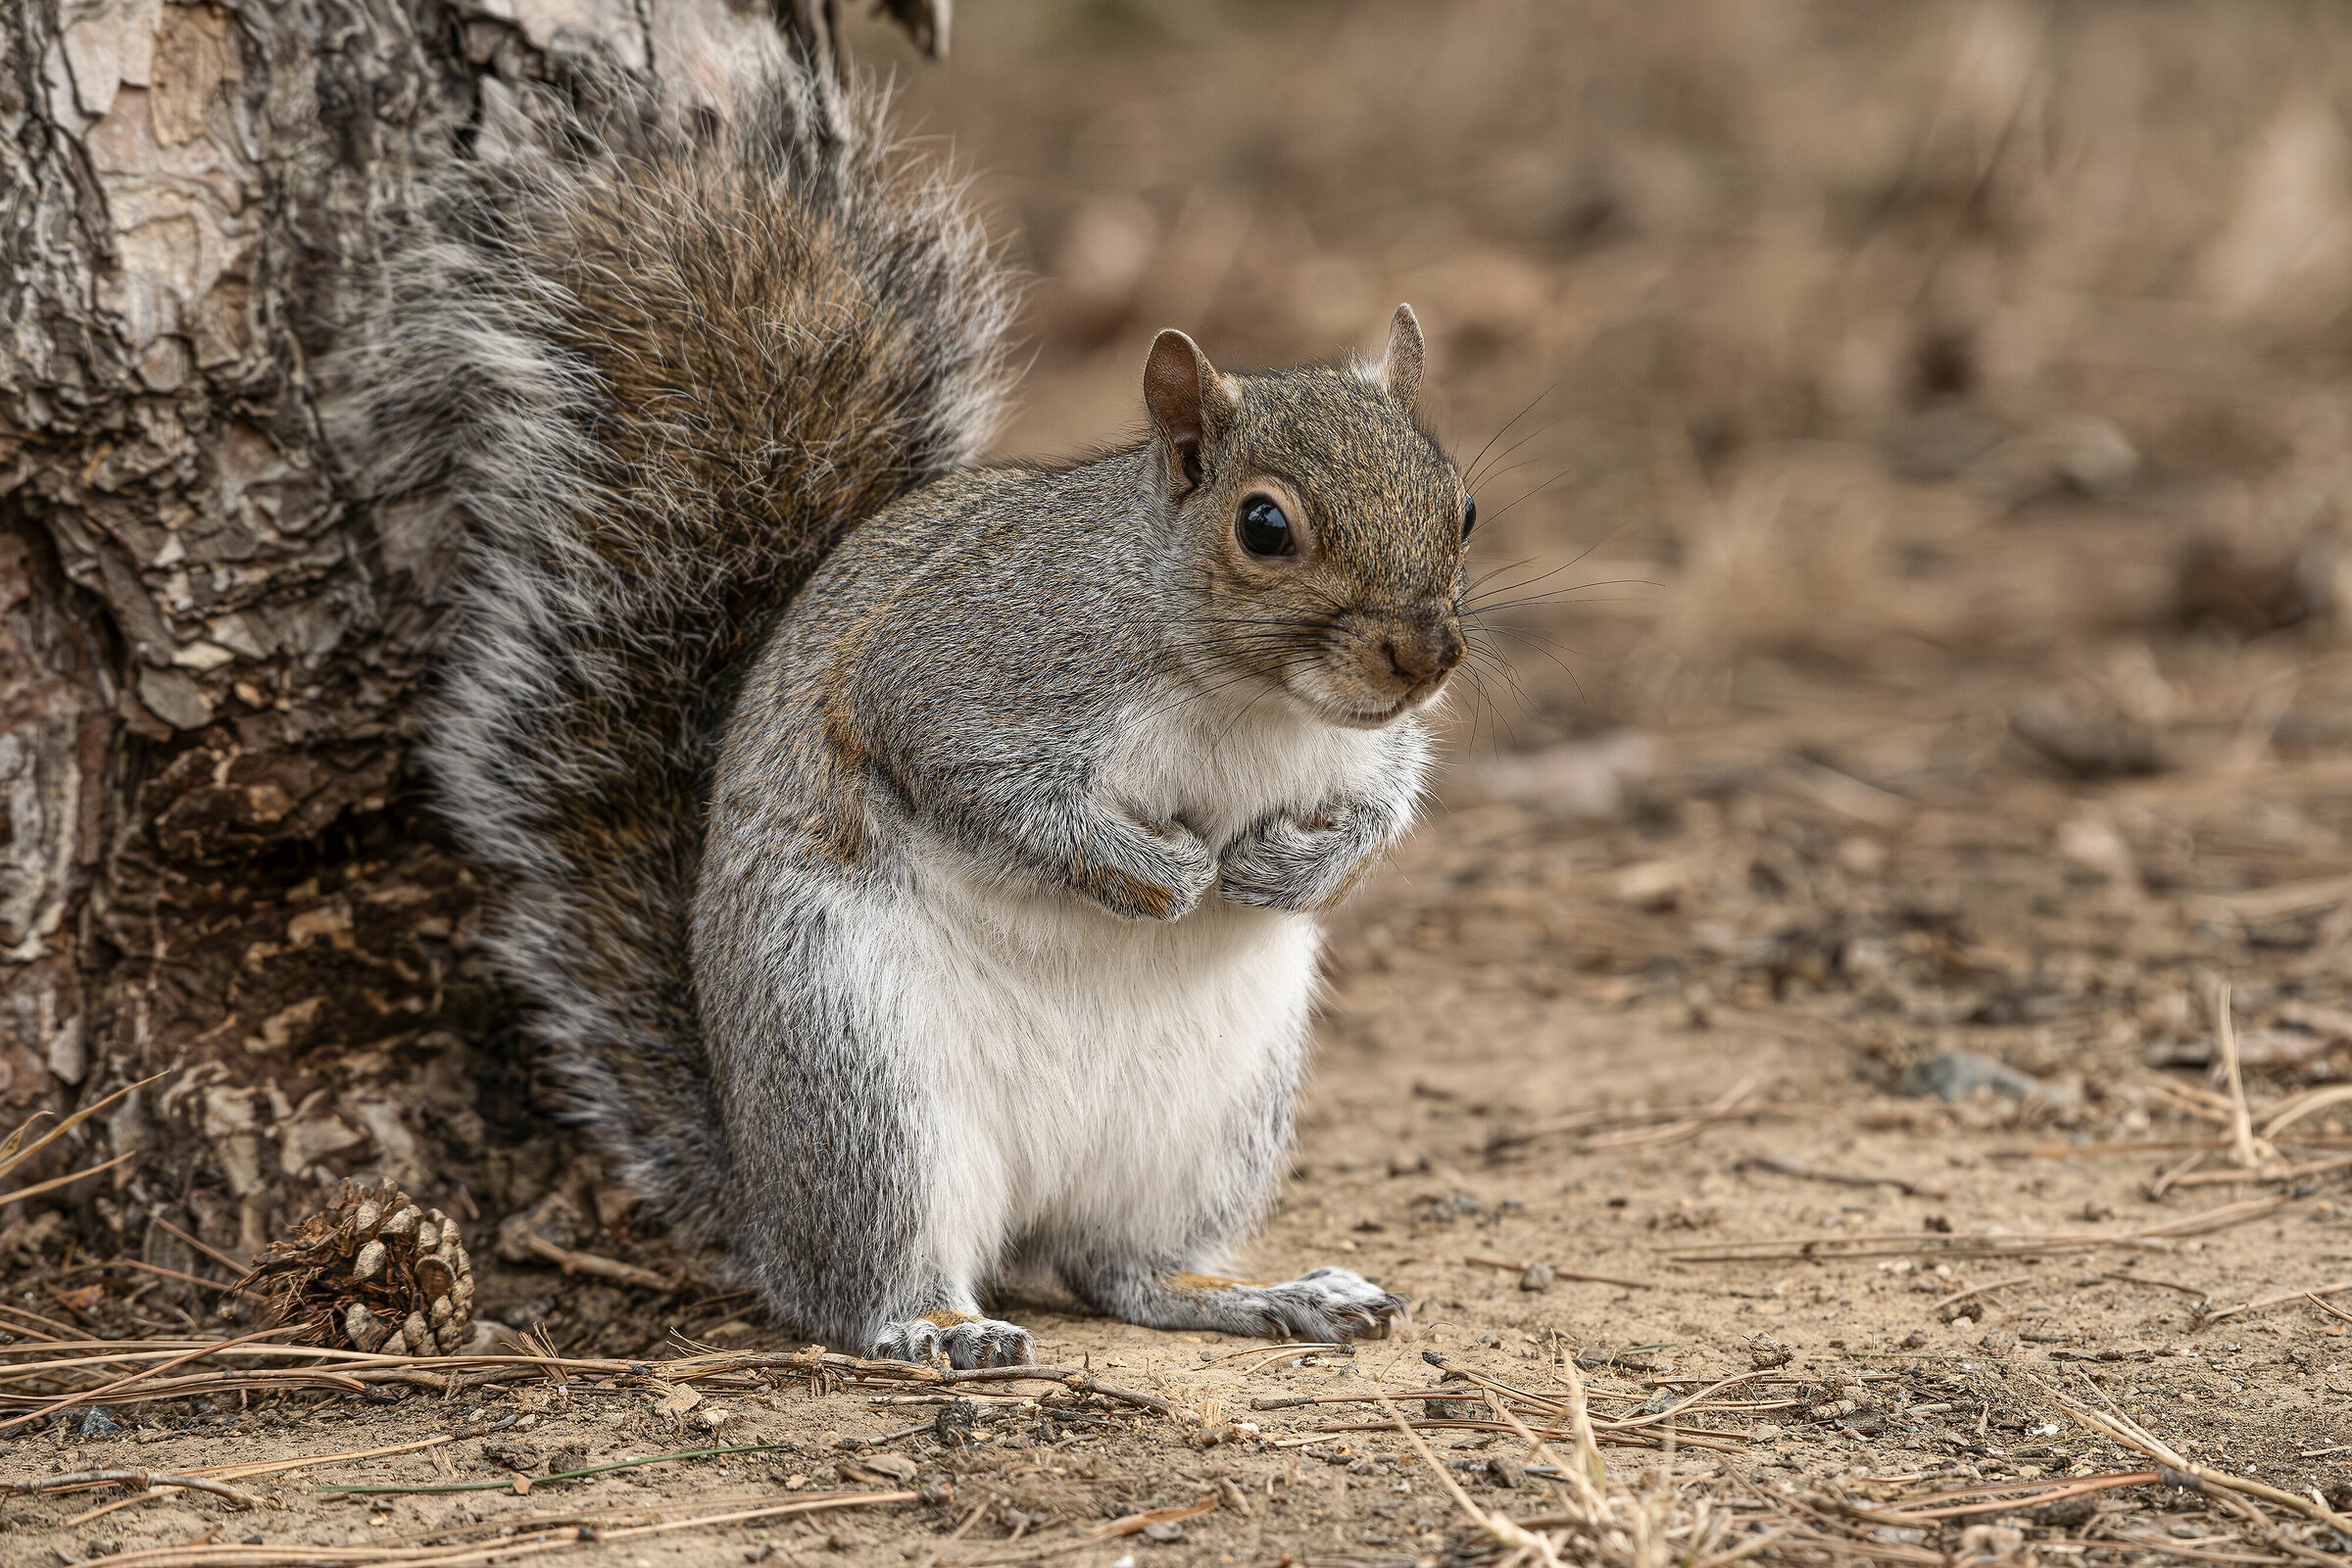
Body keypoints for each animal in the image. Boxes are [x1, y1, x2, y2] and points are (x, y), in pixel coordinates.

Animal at [346, 58, 1474, 1368]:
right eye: (1264, 526)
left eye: (1462, 506)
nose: (1425, 657)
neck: (1251, 698)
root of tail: (765, 1196)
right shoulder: (965, 669)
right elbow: (966, 773)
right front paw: (1155, 873)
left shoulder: (1364, 743)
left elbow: (1386, 802)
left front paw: (1305, 868)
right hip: (861, 1078)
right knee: (861, 1283)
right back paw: (934, 1325)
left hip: (1212, 1120)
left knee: (1120, 1269)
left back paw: (1260, 1292)